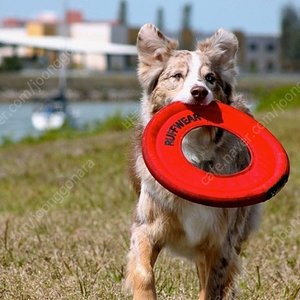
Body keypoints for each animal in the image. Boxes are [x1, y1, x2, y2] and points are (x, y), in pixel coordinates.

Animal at [125, 24, 262, 300]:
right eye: (177, 76)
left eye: (210, 78)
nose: (199, 92)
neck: (192, 154)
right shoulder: (146, 227)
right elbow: (144, 273)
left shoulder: (221, 242)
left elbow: (212, 287)